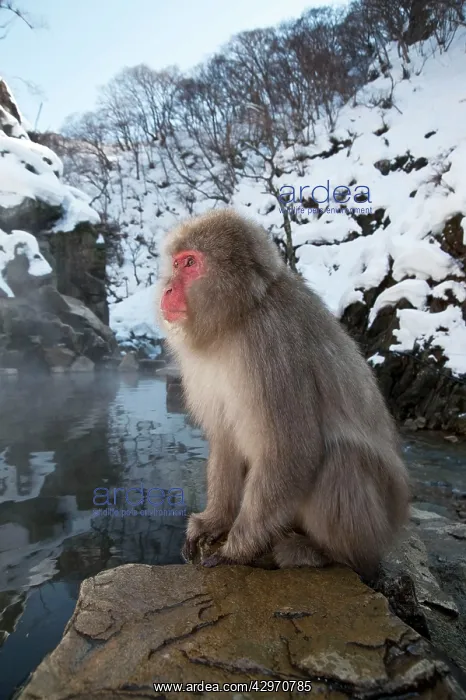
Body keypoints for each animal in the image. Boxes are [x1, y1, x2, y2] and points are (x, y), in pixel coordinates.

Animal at [157, 209, 409, 577]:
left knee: (341, 458)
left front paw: (237, 550)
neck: (240, 315)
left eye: (190, 263)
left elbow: (292, 449)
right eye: (176, 264)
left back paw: (325, 552)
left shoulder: (271, 344)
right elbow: (226, 438)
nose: (167, 288)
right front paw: (214, 522)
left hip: (373, 530)